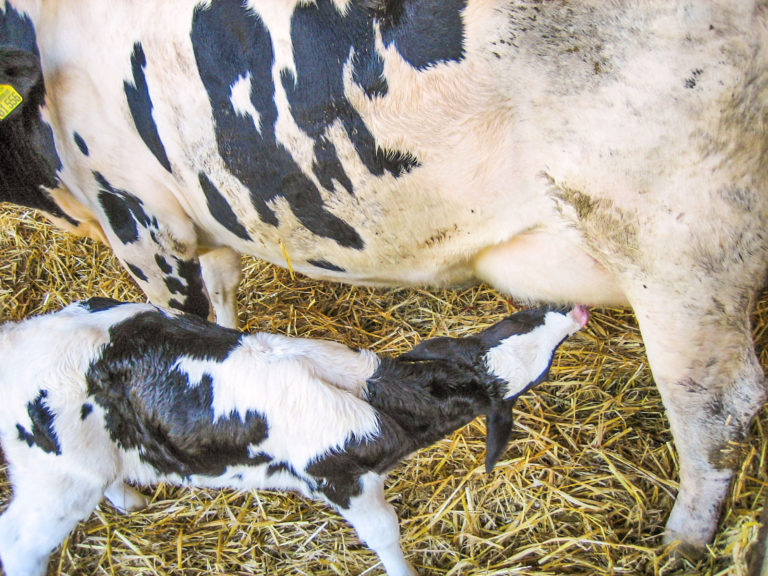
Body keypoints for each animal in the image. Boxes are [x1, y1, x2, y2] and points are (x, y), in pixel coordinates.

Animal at [0, 302, 588, 576]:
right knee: (18, 541)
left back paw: (130, 496)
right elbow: (386, 536)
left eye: (524, 315)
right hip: (55, 478)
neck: (377, 397)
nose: (577, 310)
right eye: (546, 368)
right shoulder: (343, 481)